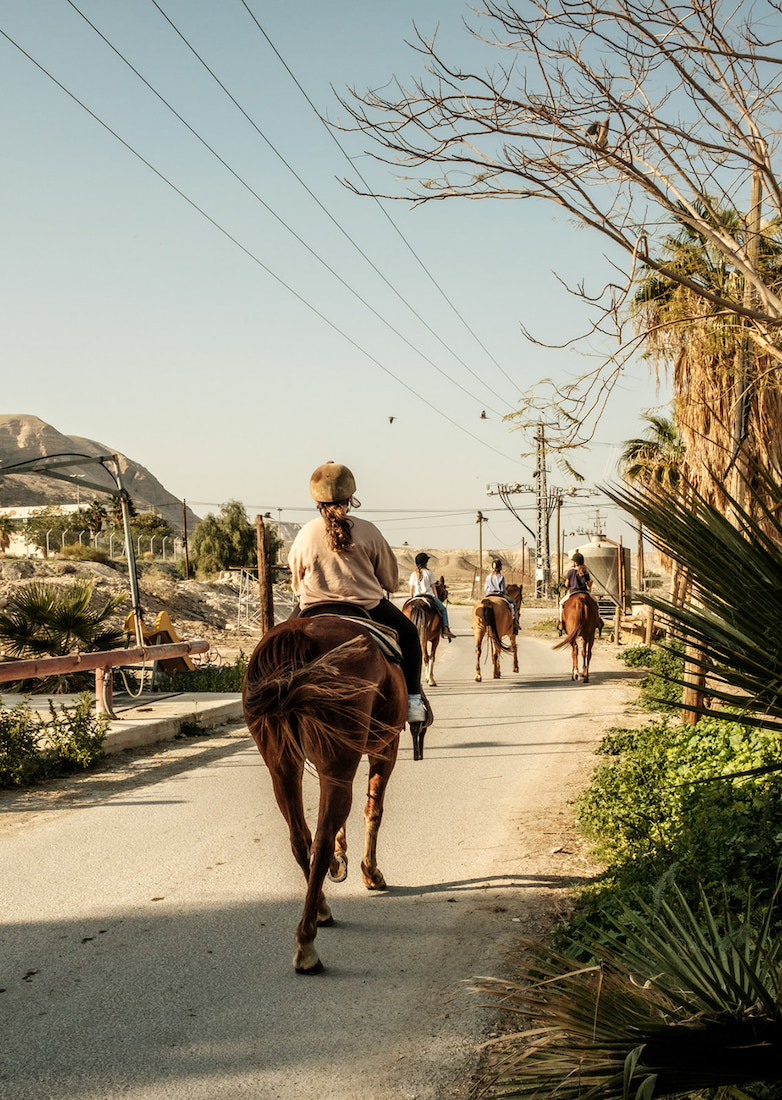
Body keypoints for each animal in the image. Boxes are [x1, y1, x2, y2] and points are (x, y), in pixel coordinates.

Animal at [241, 616, 406, 976]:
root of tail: (300, 633)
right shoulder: (386, 747)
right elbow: (373, 810)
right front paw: (370, 872)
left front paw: (341, 861)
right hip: (338, 762)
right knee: (322, 836)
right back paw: (307, 946)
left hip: (284, 767)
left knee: (301, 838)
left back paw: (320, 910)